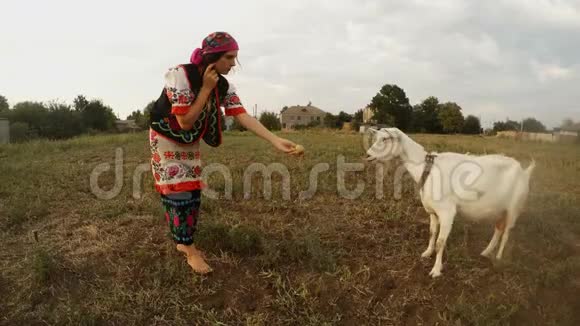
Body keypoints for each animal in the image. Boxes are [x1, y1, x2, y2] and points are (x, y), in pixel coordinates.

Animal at [368, 128, 536, 278]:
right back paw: (486, 252)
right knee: (499, 228)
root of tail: (524, 171)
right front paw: (427, 253)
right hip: (500, 209)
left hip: (514, 208)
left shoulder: (447, 212)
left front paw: (436, 270)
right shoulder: (433, 212)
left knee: (506, 233)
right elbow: (432, 233)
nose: (368, 155)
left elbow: (440, 242)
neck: (426, 169)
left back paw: (499, 257)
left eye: (385, 139)